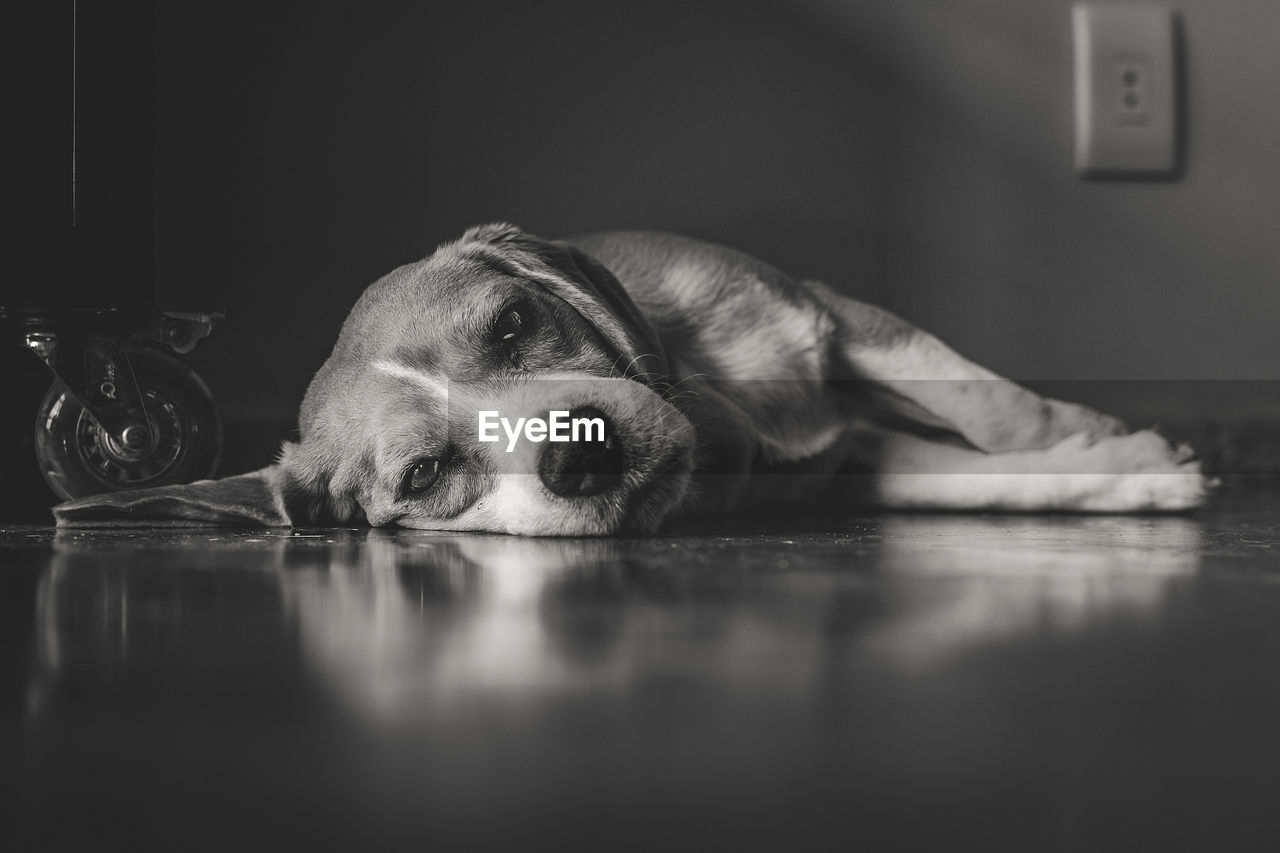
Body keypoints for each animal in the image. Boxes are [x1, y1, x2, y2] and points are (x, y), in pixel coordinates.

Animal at [52, 220, 1208, 532]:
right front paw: (1129, 472)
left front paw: (1123, 454)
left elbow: (1008, 419)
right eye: (422, 477)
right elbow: (979, 468)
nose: (581, 459)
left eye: (514, 322)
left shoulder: (835, 318)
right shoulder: (859, 459)